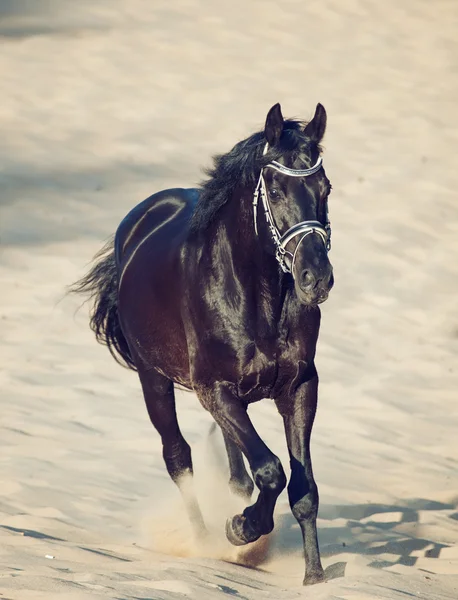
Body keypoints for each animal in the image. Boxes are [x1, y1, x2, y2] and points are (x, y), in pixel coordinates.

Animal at [73, 103, 334, 584]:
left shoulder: (300, 387)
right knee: (178, 457)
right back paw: (205, 541)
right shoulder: (212, 388)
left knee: (236, 466)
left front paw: (315, 576)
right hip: (154, 379)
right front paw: (240, 528)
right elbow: (271, 470)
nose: (316, 279)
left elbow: (303, 487)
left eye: (324, 188)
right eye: (275, 188)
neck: (255, 298)